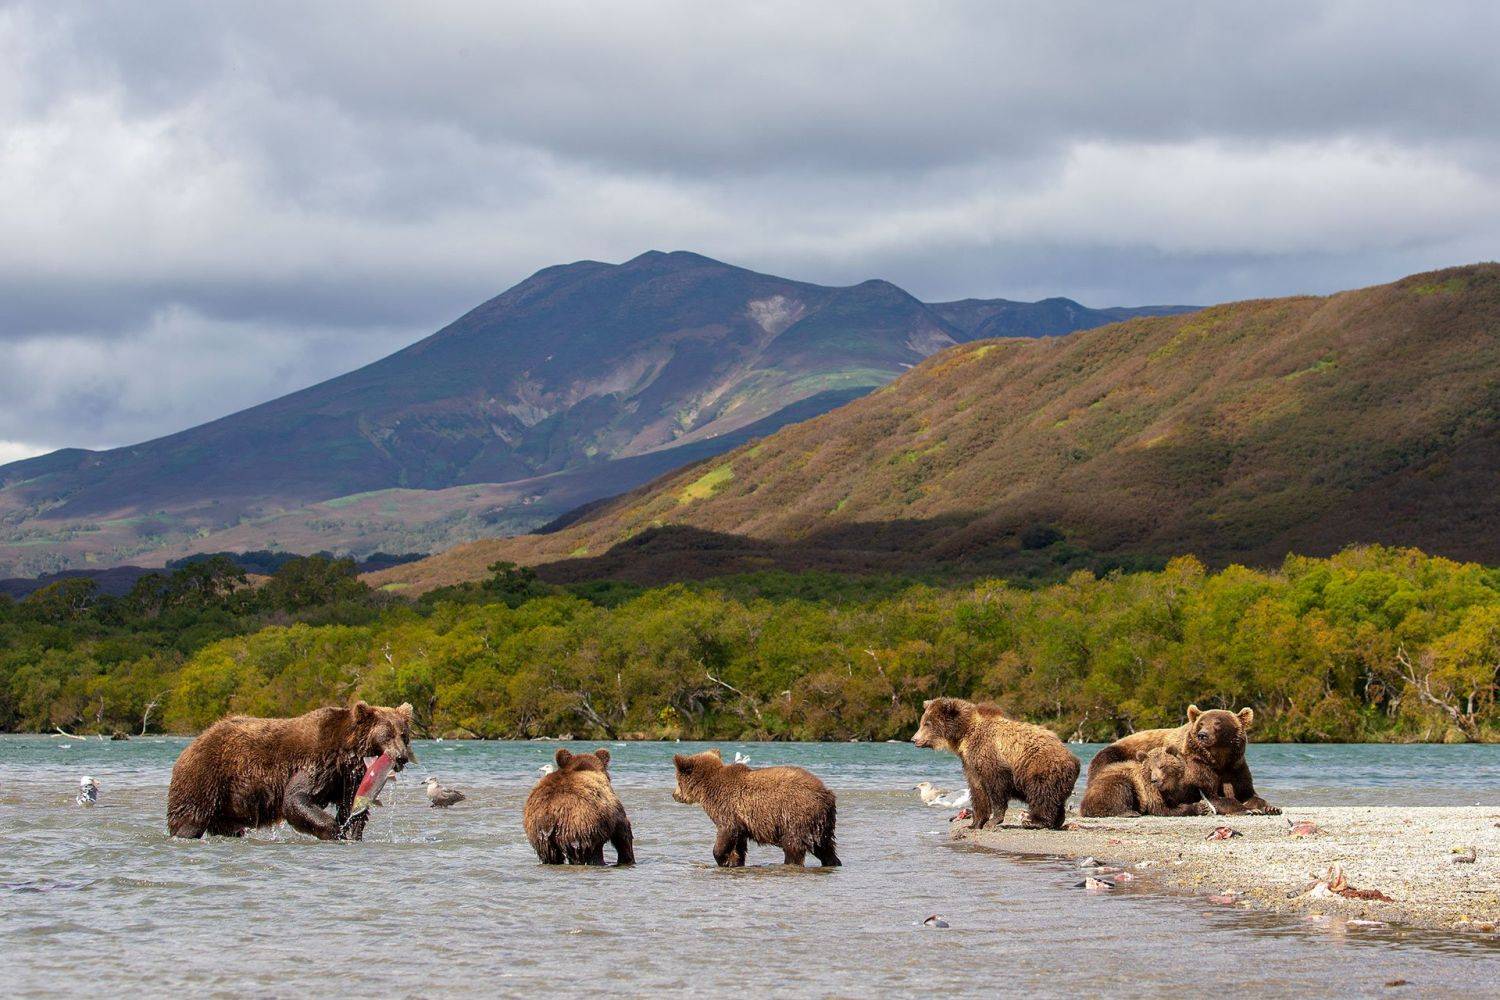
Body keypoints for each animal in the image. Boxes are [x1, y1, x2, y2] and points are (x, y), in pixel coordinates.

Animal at [165, 704, 417, 845]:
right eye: (387, 734)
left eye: (404, 735)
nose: (401, 758)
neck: (347, 753)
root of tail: (193, 743)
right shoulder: (318, 762)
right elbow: (296, 798)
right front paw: (336, 832)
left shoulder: (347, 778)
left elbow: (351, 807)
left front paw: (352, 833)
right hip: (205, 777)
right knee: (190, 817)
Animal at [672, 749, 840, 869]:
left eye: (677, 780)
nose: (674, 795)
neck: (706, 789)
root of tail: (826, 794)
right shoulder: (741, 820)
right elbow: (739, 843)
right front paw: (735, 861)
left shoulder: (727, 807)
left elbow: (726, 832)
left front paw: (723, 860)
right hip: (821, 824)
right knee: (824, 847)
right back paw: (833, 862)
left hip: (796, 816)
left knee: (793, 845)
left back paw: (789, 862)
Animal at [900, 695, 1080, 827]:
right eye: (923, 721)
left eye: (927, 723)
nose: (914, 739)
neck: (963, 735)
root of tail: (1074, 758)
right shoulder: (970, 762)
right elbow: (977, 789)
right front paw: (975, 823)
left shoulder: (989, 754)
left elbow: (996, 786)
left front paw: (993, 820)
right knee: (1055, 799)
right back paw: (1056, 821)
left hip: (1039, 766)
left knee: (1042, 794)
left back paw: (1035, 821)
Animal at [1086, 704, 1284, 815]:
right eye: (1201, 723)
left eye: (1218, 723)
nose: (1203, 735)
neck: (1219, 759)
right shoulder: (1196, 766)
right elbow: (1210, 794)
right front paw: (1246, 809)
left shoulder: (1235, 767)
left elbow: (1248, 793)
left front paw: (1270, 807)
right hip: (1114, 757)